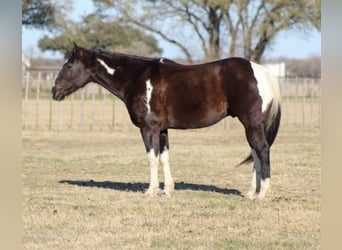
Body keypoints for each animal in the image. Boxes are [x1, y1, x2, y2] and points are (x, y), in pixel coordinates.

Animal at [51, 42, 280, 199]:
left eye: (70, 65)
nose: (54, 91)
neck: (137, 78)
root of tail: (263, 72)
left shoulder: (148, 128)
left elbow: (152, 158)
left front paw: (150, 190)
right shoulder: (162, 130)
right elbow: (164, 158)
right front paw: (167, 190)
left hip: (252, 125)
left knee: (262, 151)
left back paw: (262, 193)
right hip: (251, 127)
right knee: (255, 154)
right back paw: (251, 192)